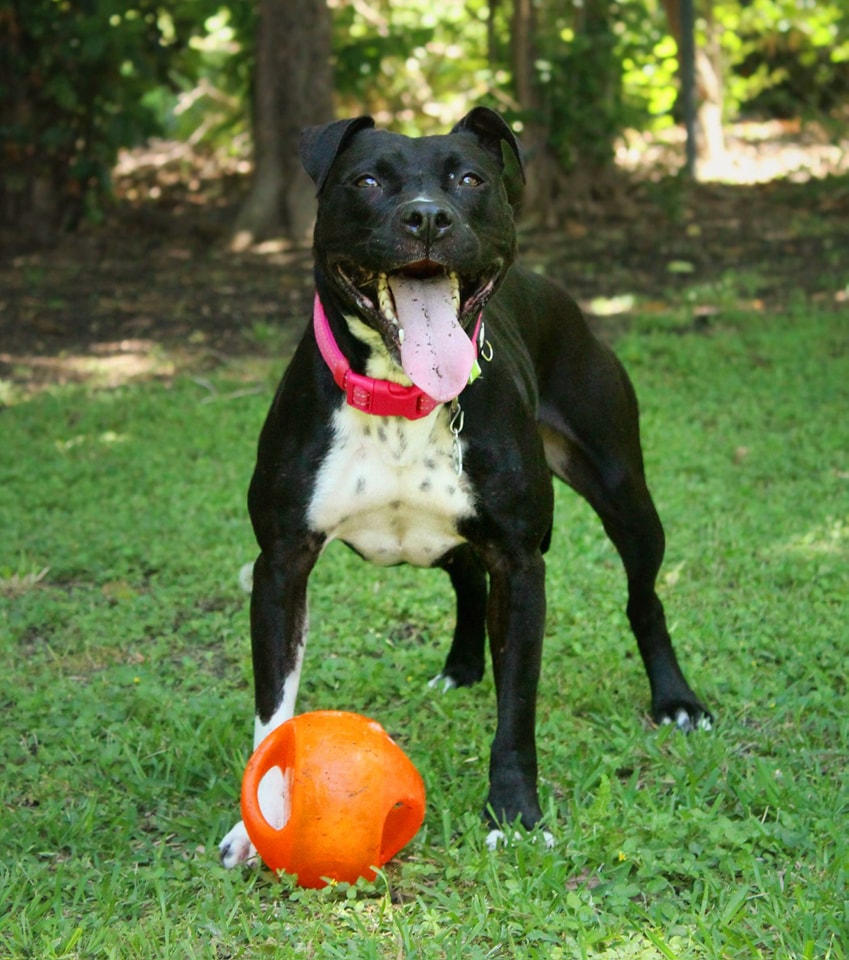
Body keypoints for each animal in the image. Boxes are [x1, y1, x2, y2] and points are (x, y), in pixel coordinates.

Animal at [219, 107, 708, 872]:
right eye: (367, 181)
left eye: (470, 179)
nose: (426, 217)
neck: (401, 394)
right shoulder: (280, 564)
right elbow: (274, 709)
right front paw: (258, 820)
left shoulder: (521, 563)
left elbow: (516, 712)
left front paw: (515, 813)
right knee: (465, 579)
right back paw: (460, 669)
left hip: (625, 495)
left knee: (644, 598)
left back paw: (675, 699)